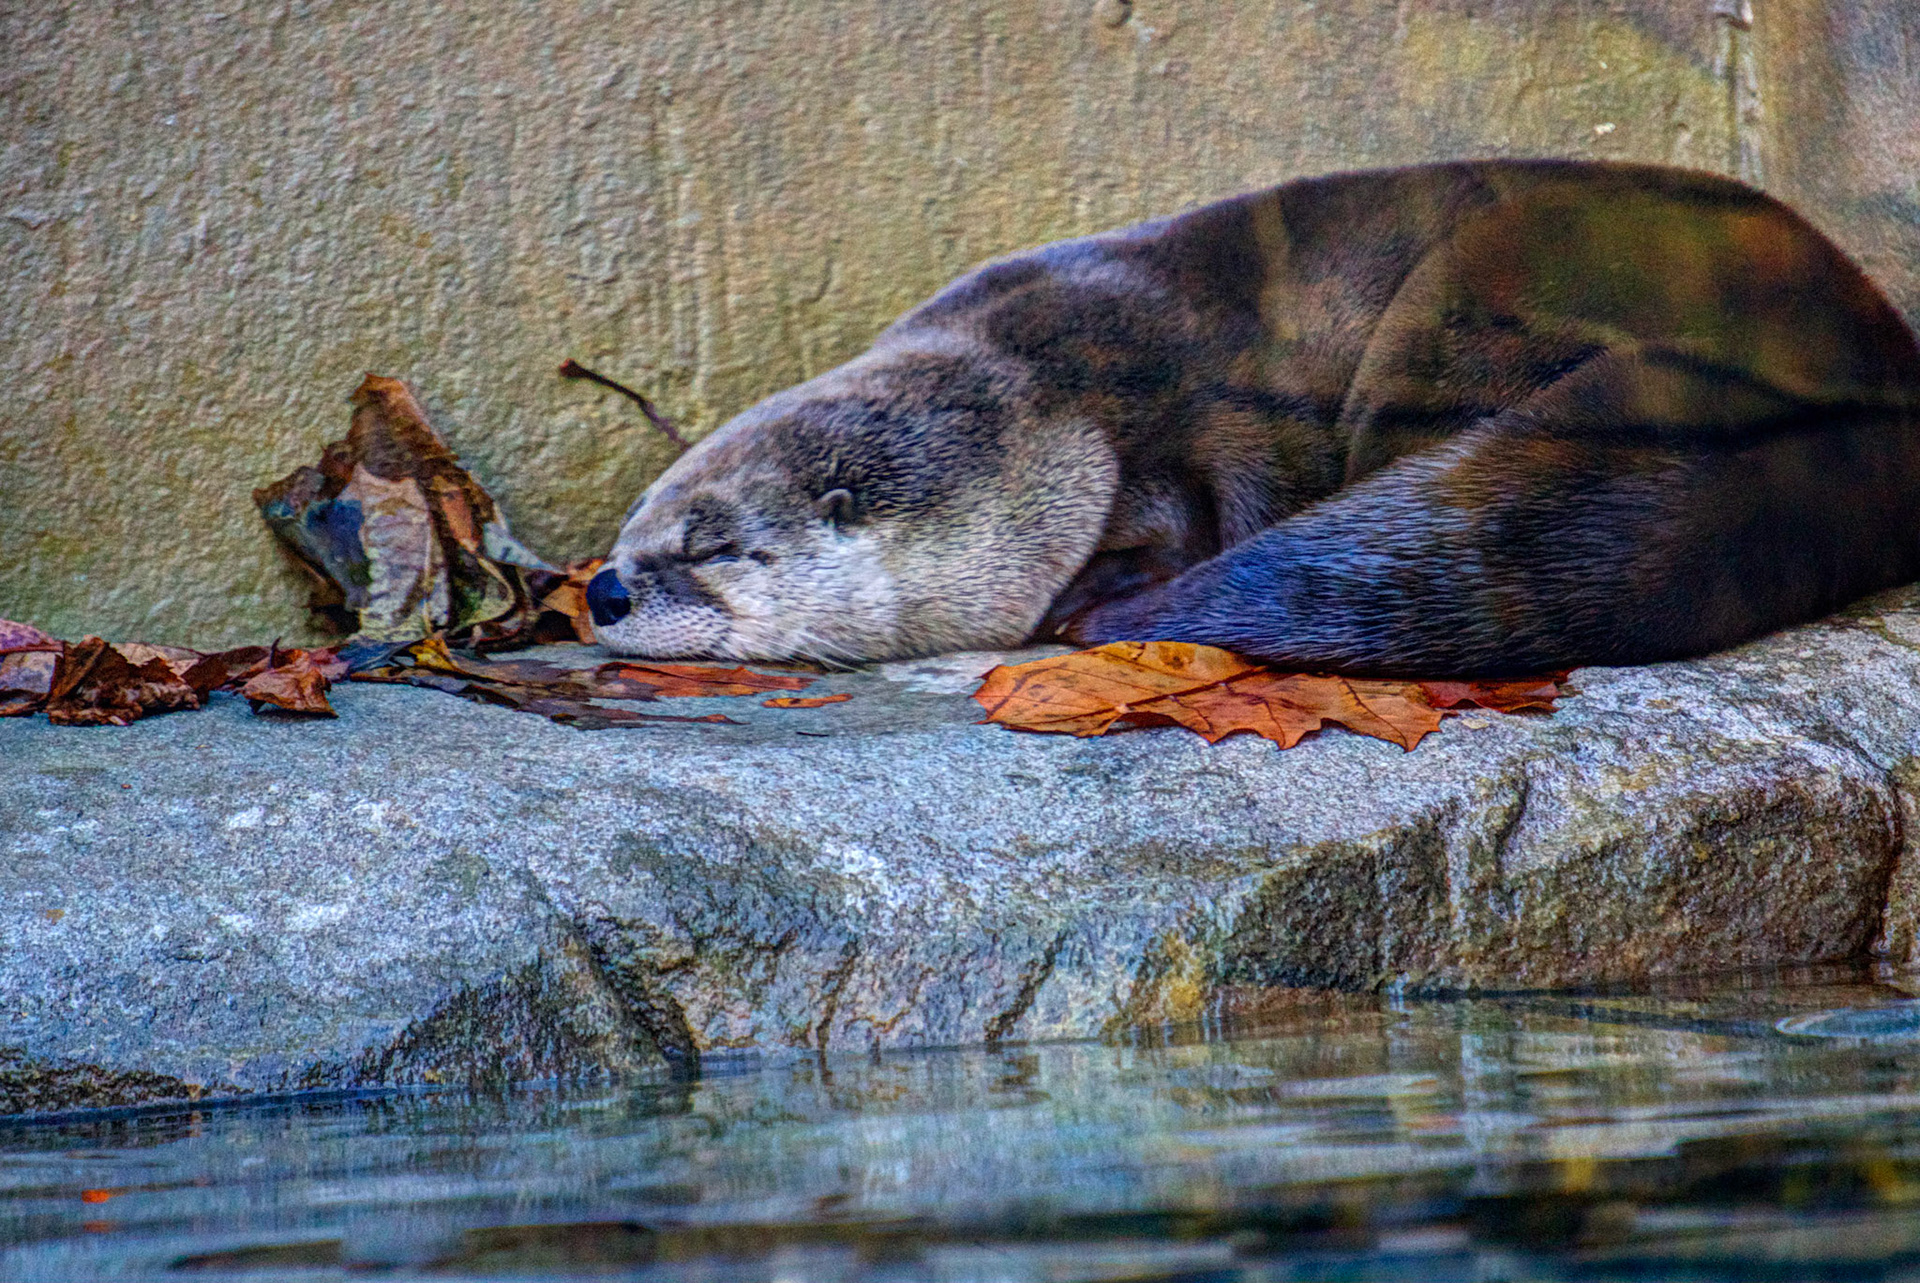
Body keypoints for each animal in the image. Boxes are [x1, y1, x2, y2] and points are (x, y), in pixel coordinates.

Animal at [587, 159, 1920, 675]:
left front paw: (1091, 597)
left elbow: (1193, 502)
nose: (600, 590)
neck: (1035, 403)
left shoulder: (1159, 412)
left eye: (714, 546)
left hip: (1467, 298)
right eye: (628, 528)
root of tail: (1863, 360)